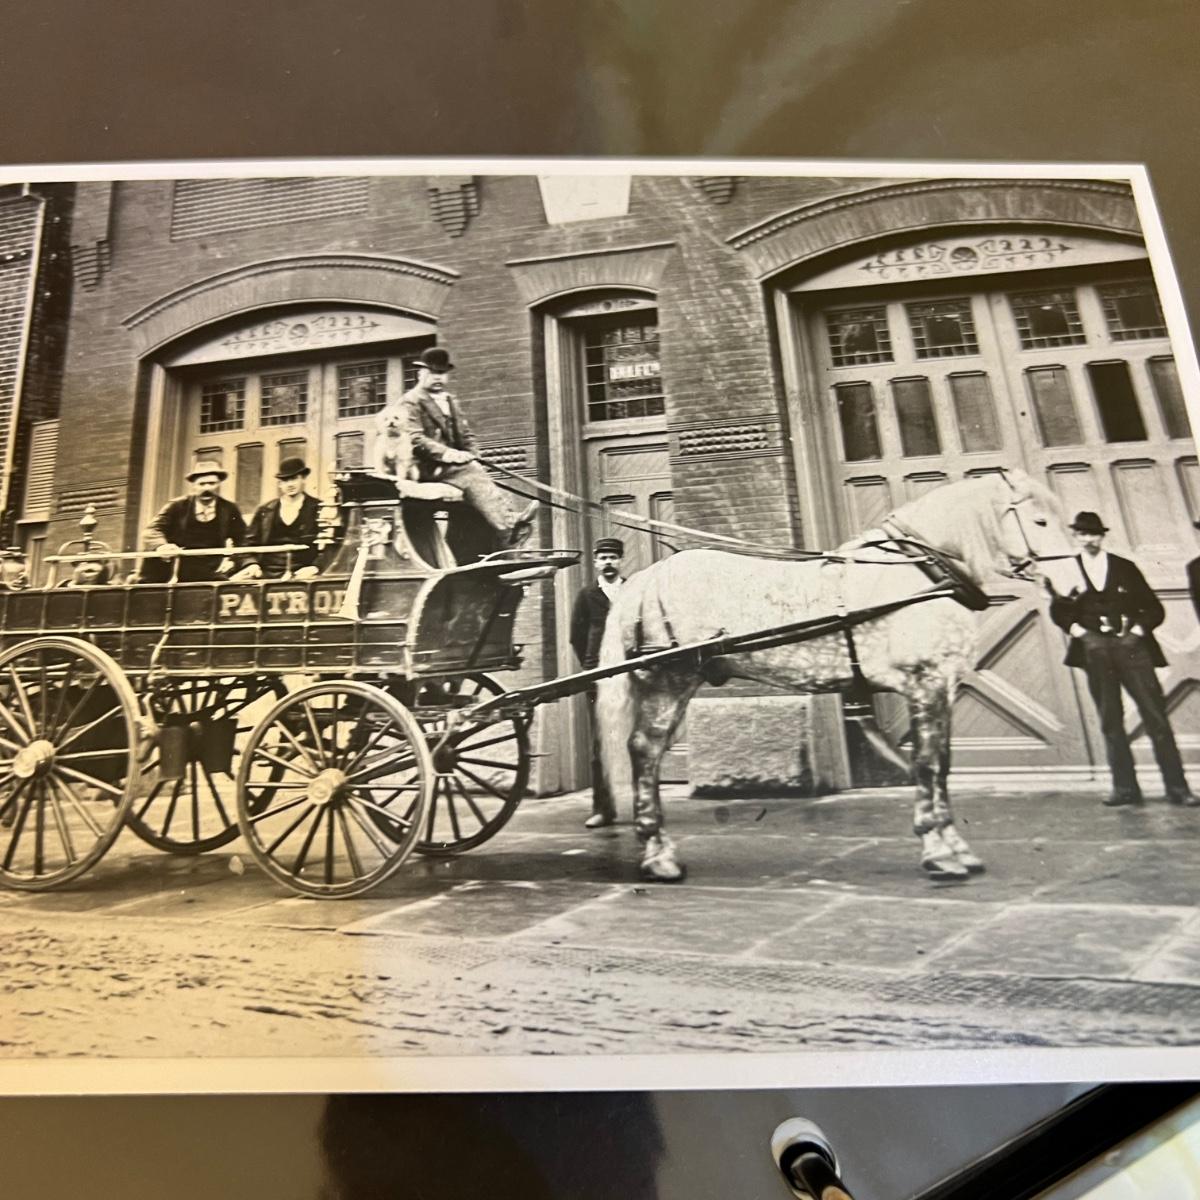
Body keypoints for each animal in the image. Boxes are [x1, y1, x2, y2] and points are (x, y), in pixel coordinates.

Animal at [595, 470, 1073, 884]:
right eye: (1039, 520)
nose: (1070, 589)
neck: (923, 572)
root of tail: (646, 578)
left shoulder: (944, 688)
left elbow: (942, 764)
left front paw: (955, 846)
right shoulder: (925, 684)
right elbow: (927, 763)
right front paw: (938, 849)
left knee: (647, 752)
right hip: (668, 680)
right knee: (644, 750)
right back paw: (657, 853)